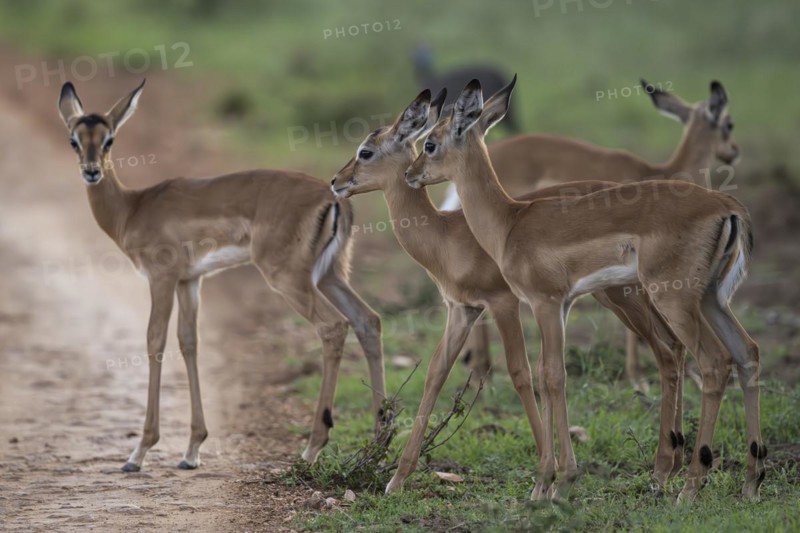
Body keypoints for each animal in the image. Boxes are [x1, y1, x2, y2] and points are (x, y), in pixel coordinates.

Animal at [57, 80, 385, 472]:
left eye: (109, 139)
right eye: (74, 140)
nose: (92, 171)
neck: (132, 209)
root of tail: (335, 197)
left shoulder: (161, 277)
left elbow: (155, 341)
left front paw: (139, 453)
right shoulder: (190, 281)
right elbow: (189, 342)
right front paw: (191, 450)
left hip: (289, 277)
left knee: (333, 326)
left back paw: (311, 448)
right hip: (330, 276)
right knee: (369, 320)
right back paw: (381, 440)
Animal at [332, 89, 686, 496]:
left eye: (366, 151)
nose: (336, 181)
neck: (446, 234)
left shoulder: (503, 303)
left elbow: (521, 373)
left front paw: (547, 479)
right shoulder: (462, 309)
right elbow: (436, 374)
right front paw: (397, 479)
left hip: (624, 295)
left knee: (669, 350)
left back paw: (664, 469)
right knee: (677, 347)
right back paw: (675, 460)